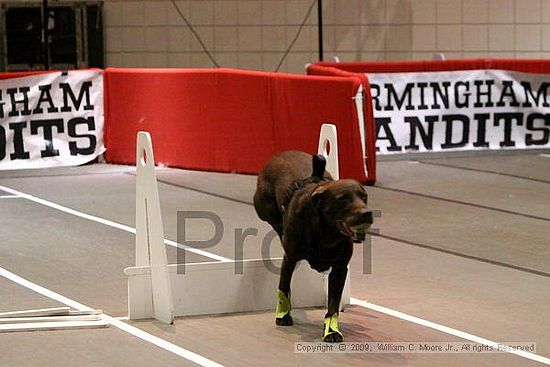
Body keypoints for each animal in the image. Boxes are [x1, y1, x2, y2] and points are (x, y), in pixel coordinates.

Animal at [256, 150, 376, 342]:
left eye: (364, 196)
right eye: (342, 199)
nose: (367, 213)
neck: (327, 232)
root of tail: (281, 154)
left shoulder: (339, 268)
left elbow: (334, 303)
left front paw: (332, 331)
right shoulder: (290, 258)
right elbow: (284, 287)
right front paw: (283, 316)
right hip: (263, 207)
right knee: (275, 222)